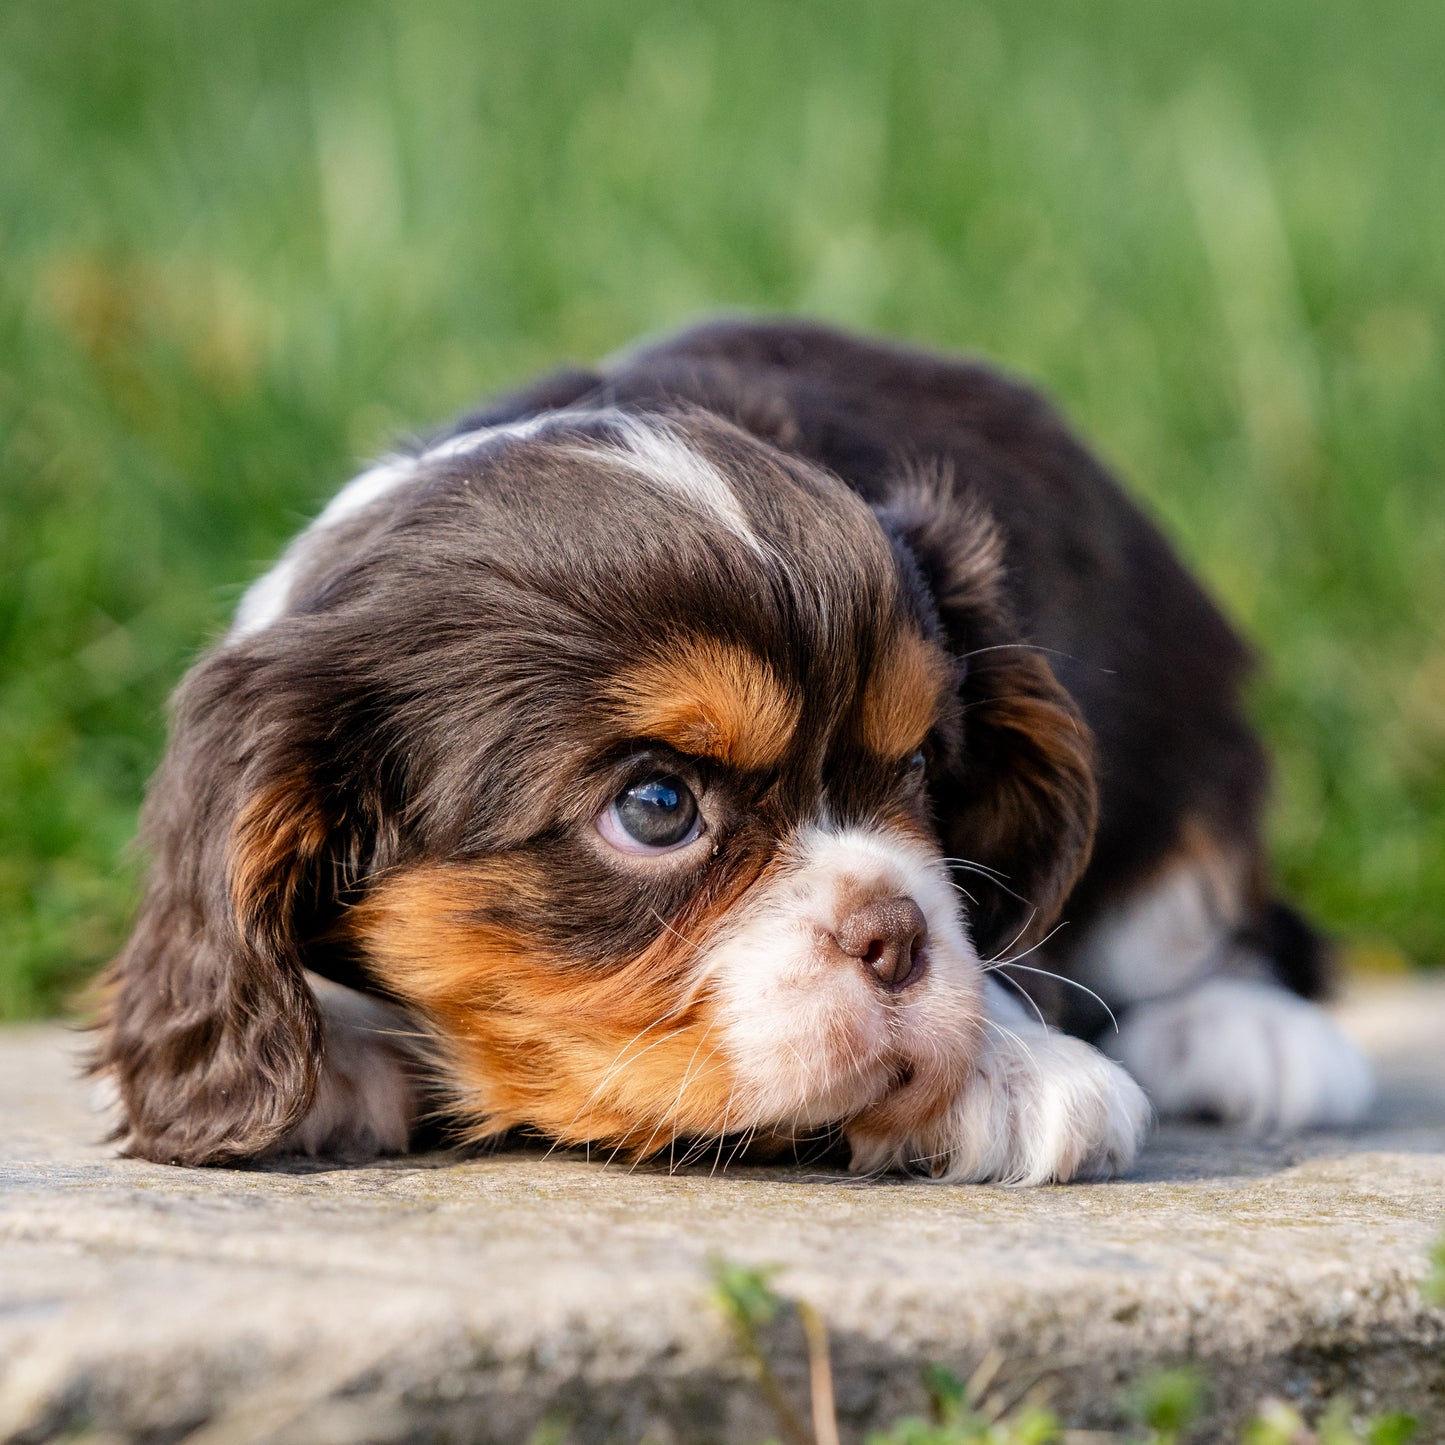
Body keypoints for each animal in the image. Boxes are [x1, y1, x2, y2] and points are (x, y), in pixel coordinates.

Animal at [93, 322, 1375, 1179]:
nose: (896, 934)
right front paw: (336, 1048)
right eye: (656, 805)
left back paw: (1252, 1037)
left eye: (920, 768)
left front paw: (1008, 1069)